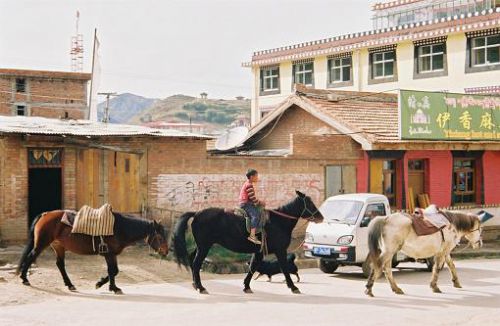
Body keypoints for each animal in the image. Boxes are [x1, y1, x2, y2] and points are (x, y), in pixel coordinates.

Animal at [17, 210, 170, 294]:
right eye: (160, 237)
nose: (165, 251)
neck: (120, 228)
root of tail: (46, 214)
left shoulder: (112, 254)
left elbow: (114, 271)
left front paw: (103, 284)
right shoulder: (109, 254)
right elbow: (112, 271)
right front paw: (112, 287)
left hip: (58, 246)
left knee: (60, 264)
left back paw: (70, 284)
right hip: (41, 244)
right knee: (30, 257)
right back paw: (24, 279)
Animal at [173, 190, 324, 294]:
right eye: (309, 203)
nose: (320, 217)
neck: (278, 222)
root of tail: (197, 213)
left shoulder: (259, 252)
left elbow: (253, 267)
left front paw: (246, 286)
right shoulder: (280, 250)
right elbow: (284, 268)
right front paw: (293, 287)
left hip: (201, 246)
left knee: (192, 259)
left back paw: (195, 284)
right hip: (205, 246)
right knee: (196, 263)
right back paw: (200, 287)